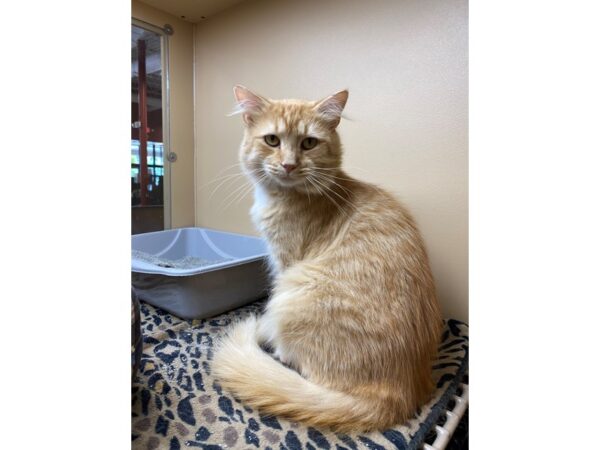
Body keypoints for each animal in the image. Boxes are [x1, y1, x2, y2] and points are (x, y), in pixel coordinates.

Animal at [213, 85, 442, 432]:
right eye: (272, 140)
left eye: (309, 143)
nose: (289, 165)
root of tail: (400, 394)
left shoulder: (284, 261)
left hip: (291, 294)